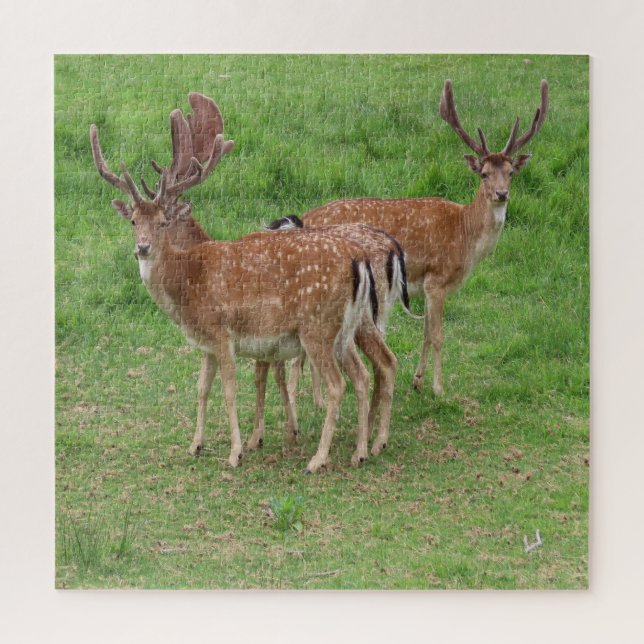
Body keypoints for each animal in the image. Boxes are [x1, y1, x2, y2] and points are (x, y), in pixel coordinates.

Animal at [90, 102, 384, 474]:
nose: (142, 248)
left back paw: (318, 459)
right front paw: (195, 445)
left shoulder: (221, 332)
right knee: (362, 376)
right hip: (345, 330)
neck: (187, 285)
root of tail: (358, 259)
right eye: (132, 221)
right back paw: (360, 451)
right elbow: (201, 388)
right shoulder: (204, 343)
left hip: (316, 327)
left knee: (338, 384)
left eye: (163, 222)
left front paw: (235, 453)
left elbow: (229, 390)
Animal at [273, 79, 548, 396]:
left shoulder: (427, 288)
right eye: (484, 173)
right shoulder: (437, 279)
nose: (501, 194)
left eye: (511, 172)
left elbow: (427, 333)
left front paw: (418, 381)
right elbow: (438, 334)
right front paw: (439, 389)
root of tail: (304, 219)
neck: (466, 235)